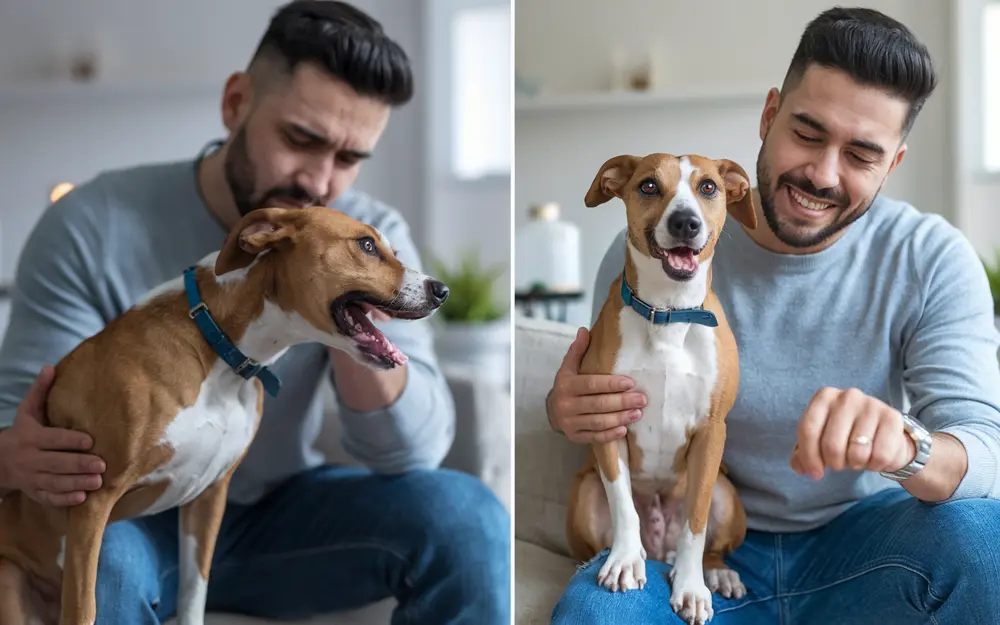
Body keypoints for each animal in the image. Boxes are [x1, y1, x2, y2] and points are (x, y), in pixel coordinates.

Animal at [0, 206, 450, 624]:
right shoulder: (93, 498)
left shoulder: (208, 496)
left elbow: (193, 593)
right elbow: (85, 607)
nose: (442, 290)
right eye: (367, 245)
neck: (218, 347)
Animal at [568, 152, 752, 624]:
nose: (686, 222)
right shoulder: (607, 419)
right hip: (583, 492)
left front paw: (690, 585)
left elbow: (696, 523)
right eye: (649, 186)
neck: (669, 312)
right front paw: (623, 560)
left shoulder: (712, 432)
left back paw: (716, 573)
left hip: (727, 492)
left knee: (713, 545)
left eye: (708, 187)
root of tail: (658, 549)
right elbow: (623, 503)